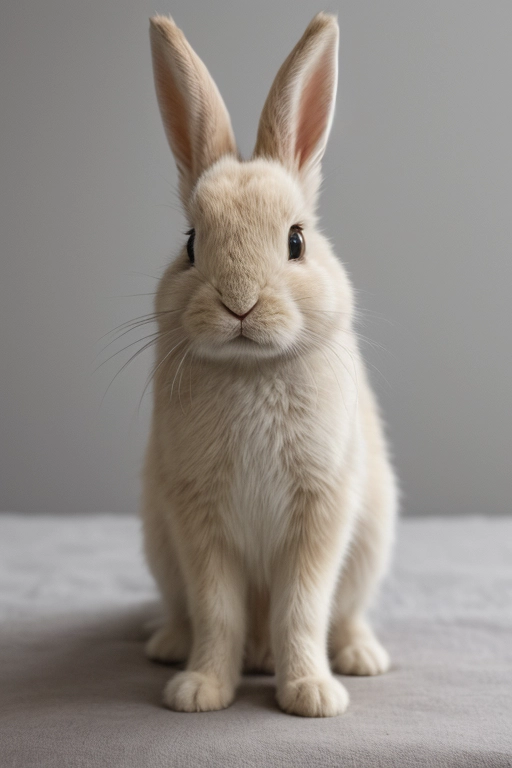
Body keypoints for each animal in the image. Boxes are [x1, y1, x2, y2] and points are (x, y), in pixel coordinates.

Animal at [142, 13, 398, 720]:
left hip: (369, 543)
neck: (249, 369)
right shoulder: (197, 523)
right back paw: (168, 648)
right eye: (190, 244)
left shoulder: (321, 514)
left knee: (344, 615)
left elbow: (300, 611)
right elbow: (219, 612)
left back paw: (361, 658)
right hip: (160, 547)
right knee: (187, 613)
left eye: (296, 240)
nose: (239, 303)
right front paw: (199, 692)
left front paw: (313, 696)